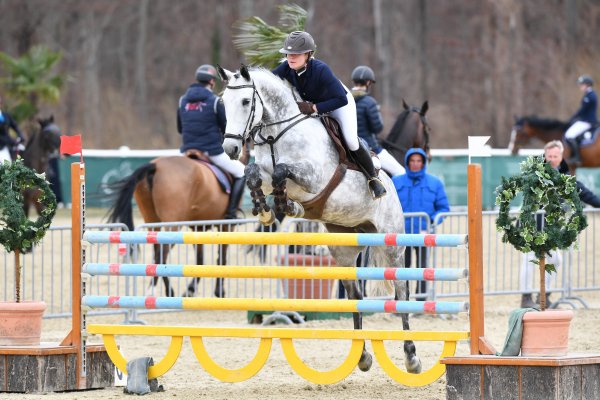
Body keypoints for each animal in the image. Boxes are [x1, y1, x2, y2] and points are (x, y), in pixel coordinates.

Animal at [106, 155, 240, 296]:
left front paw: (191, 289)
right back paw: (155, 290)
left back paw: (166, 290)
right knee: (162, 253)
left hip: (153, 221)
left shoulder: (197, 227)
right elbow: (221, 258)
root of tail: (155, 166)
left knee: (158, 253)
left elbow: (200, 259)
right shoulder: (226, 226)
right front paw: (218, 291)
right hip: (173, 225)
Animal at [217, 65, 422, 376]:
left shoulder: (314, 176)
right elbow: (255, 173)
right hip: (343, 249)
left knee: (401, 293)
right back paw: (362, 356)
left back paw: (411, 357)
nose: (230, 149)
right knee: (355, 296)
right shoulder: (264, 173)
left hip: (392, 244)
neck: (277, 133)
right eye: (223, 103)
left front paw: (287, 204)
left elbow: (282, 170)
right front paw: (267, 209)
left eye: (244, 102)